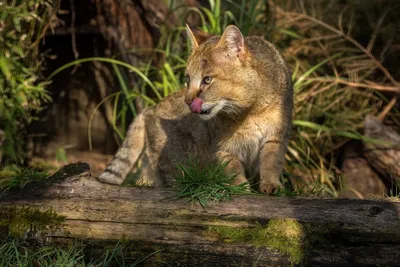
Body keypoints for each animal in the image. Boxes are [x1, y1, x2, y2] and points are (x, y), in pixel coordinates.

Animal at [96, 24, 294, 194]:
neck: (250, 111)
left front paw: (271, 185)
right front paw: (242, 189)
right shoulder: (222, 148)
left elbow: (271, 163)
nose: (187, 100)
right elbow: (233, 170)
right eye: (188, 79)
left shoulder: (276, 137)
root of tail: (149, 109)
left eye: (207, 80)